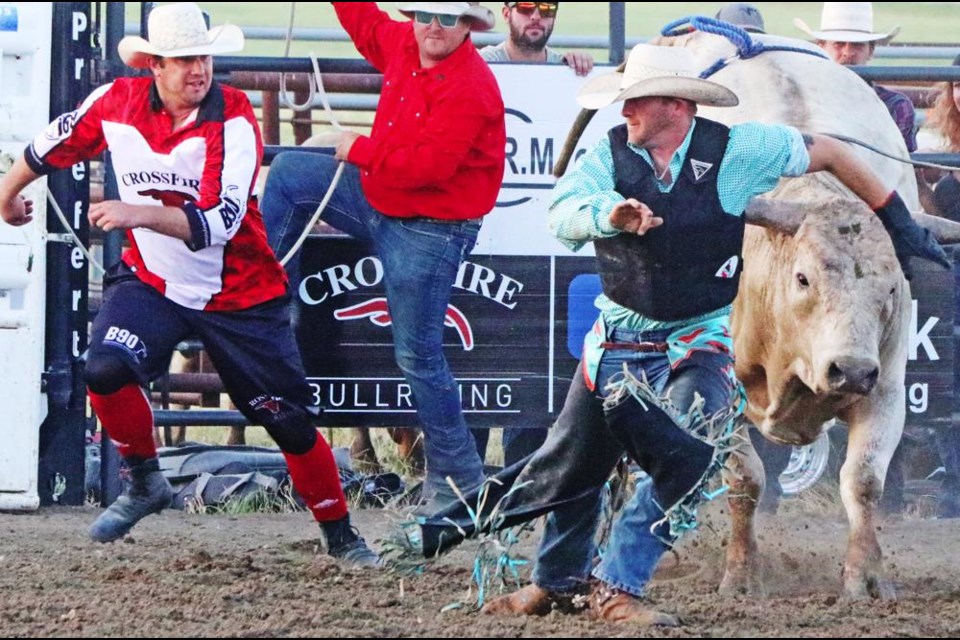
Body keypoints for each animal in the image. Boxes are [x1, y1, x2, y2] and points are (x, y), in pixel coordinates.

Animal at [660, 30, 960, 600]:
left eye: (892, 287)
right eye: (803, 278)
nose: (852, 370)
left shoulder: (887, 389)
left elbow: (863, 481)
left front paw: (866, 578)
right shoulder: (719, 397)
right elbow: (745, 480)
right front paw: (741, 574)